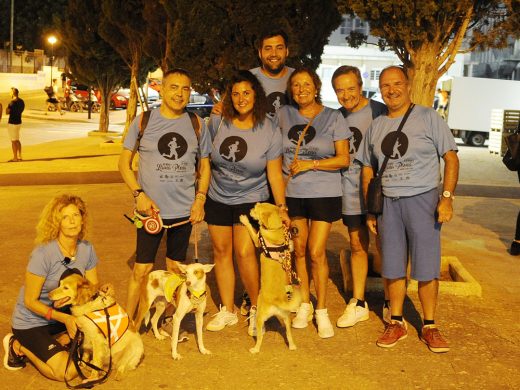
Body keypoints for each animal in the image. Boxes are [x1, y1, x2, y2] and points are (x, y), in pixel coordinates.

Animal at [239, 201, 300, 354]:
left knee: (260, 338)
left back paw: (255, 349)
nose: (250, 208)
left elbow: (251, 229)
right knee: (289, 334)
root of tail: (276, 302)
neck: (275, 230)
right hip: (286, 317)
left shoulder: (257, 239)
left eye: (256, 209)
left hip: (260, 317)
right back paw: (292, 346)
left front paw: (244, 219)